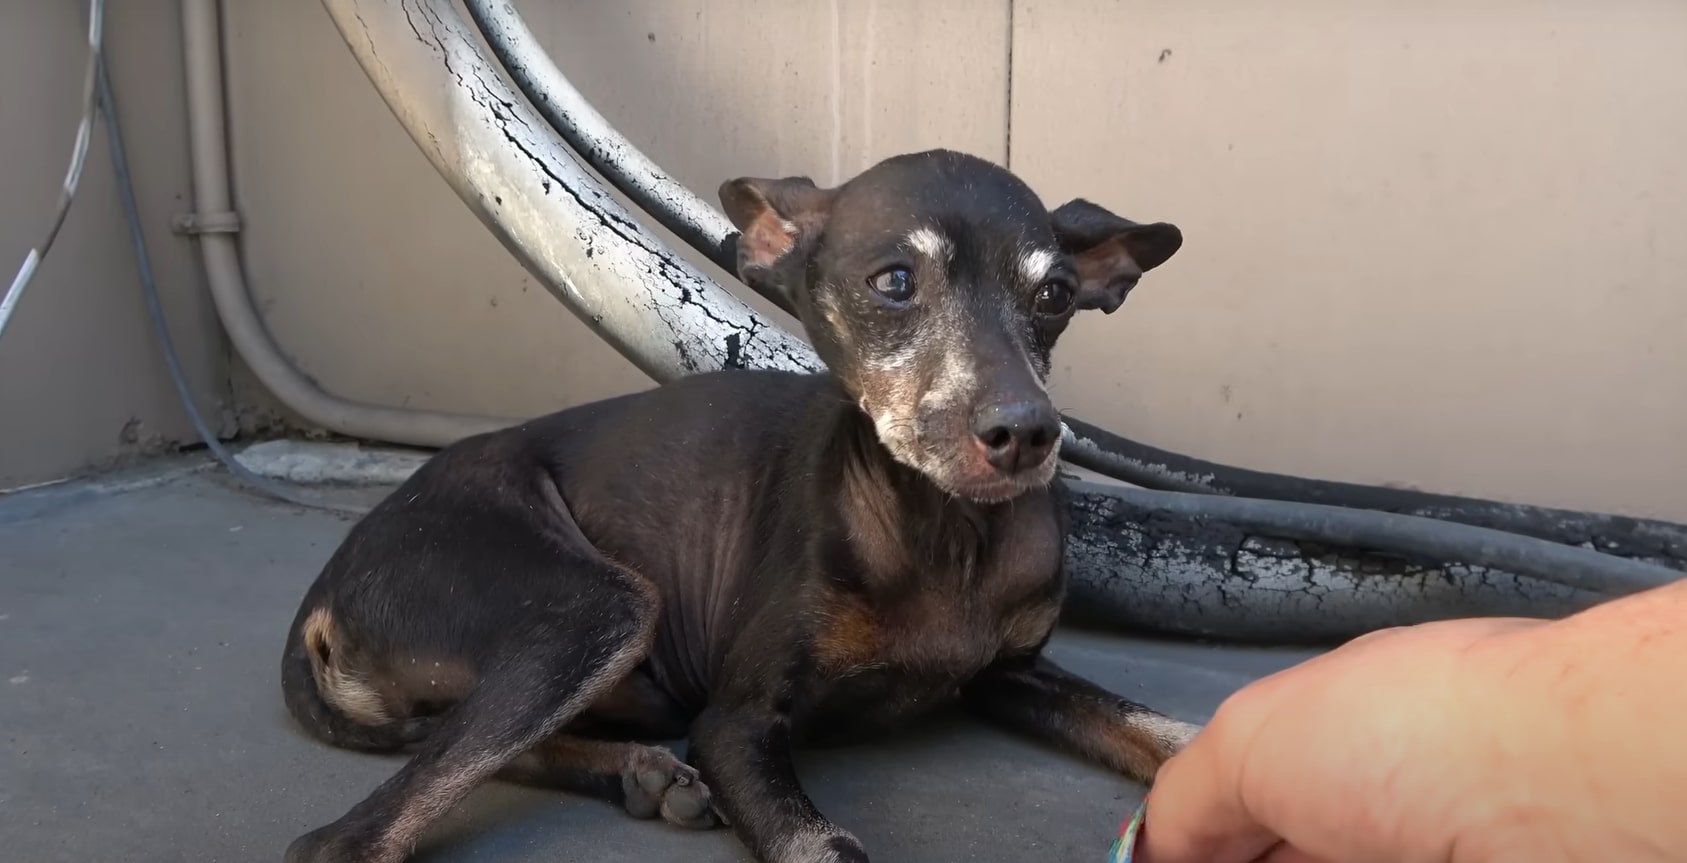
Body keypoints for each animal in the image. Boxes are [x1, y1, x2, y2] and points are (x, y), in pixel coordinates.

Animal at [283, 150, 1194, 863]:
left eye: (1055, 295)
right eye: (895, 282)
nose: (1026, 433)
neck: (947, 532)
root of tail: (323, 593)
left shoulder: (1010, 674)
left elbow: (1164, 732)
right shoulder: (734, 722)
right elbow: (825, 845)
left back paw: (637, 771)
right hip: (603, 607)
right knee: (347, 833)